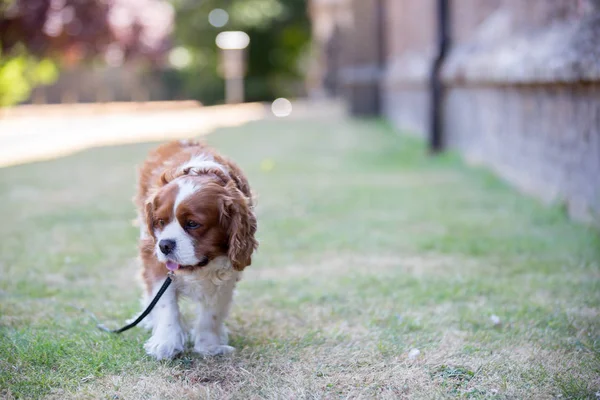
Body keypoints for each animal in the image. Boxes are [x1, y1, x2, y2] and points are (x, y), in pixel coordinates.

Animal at [134, 140, 258, 360]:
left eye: (192, 224)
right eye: (160, 222)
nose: (164, 245)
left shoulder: (227, 272)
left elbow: (212, 313)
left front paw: (209, 345)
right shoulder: (155, 260)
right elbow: (165, 304)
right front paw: (166, 343)